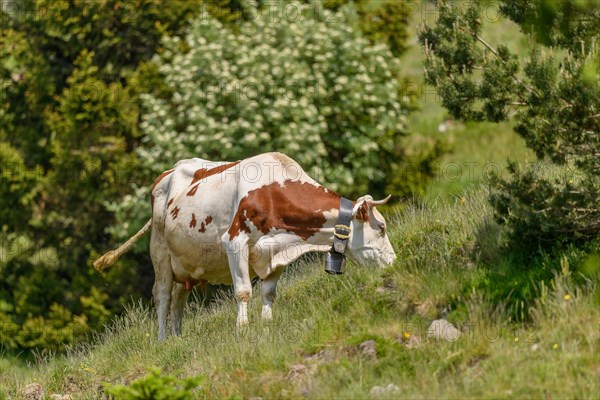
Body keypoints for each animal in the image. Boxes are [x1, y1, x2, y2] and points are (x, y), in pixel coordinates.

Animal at [94, 152, 396, 340]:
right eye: (381, 228)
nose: (394, 262)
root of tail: (168, 172)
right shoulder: (235, 242)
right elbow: (243, 291)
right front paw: (242, 328)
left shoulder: (275, 253)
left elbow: (269, 293)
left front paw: (266, 324)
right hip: (160, 251)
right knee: (162, 296)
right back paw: (161, 340)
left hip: (185, 262)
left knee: (179, 298)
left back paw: (177, 338)